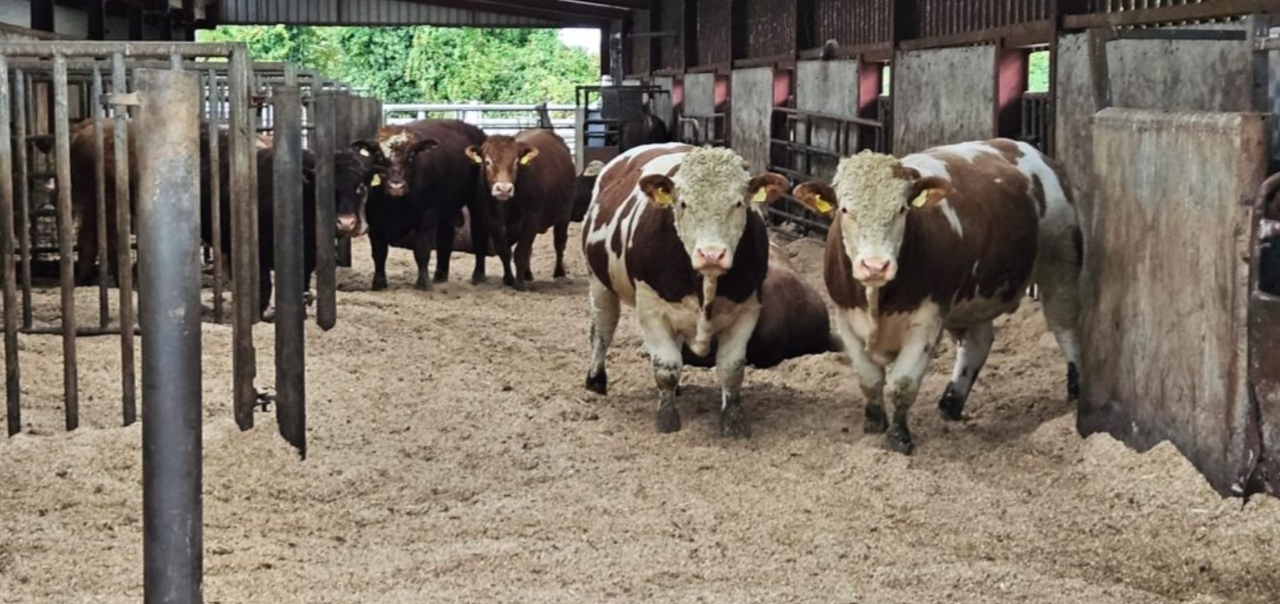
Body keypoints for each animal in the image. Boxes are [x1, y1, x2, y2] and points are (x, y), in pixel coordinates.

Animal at [351, 119, 488, 290]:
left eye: (411, 156)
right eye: (379, 156)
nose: (396, 186)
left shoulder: (427, 216)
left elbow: (422, 250)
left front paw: (423, 283)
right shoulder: (374, 221)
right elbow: (379, 253)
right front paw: (379, 282)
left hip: (476, 203)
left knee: (479, 232)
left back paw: (478, 275)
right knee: (446, 237)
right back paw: (440, 275)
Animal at [464, 129, 576, 290]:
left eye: (516, 162)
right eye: (487, 161)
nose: (504, 189)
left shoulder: (531, 221)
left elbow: (520, 252)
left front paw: (519, 283)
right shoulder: (493, 223)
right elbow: (505, 252)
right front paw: (509, 279)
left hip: (564, 216)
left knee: (559, 243)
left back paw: (559, 272)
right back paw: (527, 274)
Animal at [582, 143, 790, 437]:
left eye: (739, 203)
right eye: (683, 203)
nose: (712, 254)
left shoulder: (747, 308)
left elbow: (731, 369)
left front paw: (733, 421)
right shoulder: (651, 308)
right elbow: (666, 367)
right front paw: (667, 418)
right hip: (599, 283)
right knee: (602, 330)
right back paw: (596, 379)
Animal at [791, 139, 1083, 454]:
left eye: (902, 209)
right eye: (845, 210)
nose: (875, 266)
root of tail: (1024, 148)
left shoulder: (927, 320)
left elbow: (902, 382)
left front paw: (899, 437)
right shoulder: (845, 315)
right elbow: (869, 378)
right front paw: (873, 425)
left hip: (1062, 264)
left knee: (1067, 331)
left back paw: (1076, 392)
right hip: (970, 299)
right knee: (977, 343)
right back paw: (951, 403)